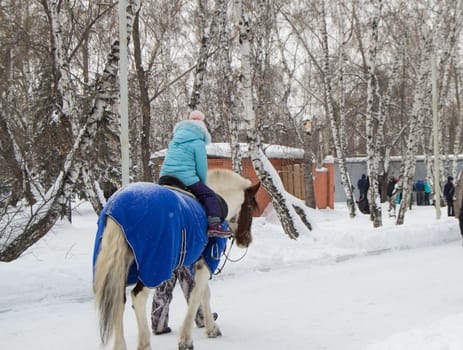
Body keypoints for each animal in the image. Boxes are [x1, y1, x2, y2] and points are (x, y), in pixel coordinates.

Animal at [92, 170, 260, 350]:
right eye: (250, 208)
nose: (246, 240)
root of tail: (116, 209)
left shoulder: (194, 263)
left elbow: (204, 293)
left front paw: (211, 328)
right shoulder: (206, 261)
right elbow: (196, 295)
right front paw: (186, 339)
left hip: (121, 268)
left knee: (117, 299)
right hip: (152, 268)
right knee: (138, 297)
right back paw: (144, 343)